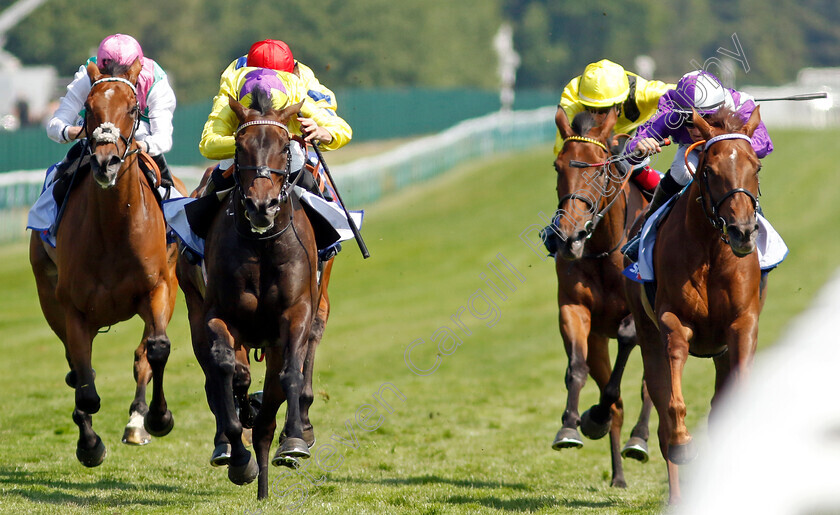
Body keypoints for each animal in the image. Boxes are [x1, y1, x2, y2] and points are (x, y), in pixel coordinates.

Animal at [29, 60, 184, 468]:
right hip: (47, 295)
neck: (115, 227)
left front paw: (159, 417)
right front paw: (89, 443)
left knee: (143, 355)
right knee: (77, 367)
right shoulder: (71, 307)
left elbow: (156, 350)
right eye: (89, 108)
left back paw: (137, 423)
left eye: (132, 108)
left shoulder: (159, 286)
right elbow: (84, 384)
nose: (105, 162)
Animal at [176, 88, 318, 500]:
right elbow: (226, 369)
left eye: (286, 146)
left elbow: (290, 373)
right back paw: (231, 443)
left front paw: (294, 440)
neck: (262, 244)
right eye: (240, 146)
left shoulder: (296, 312)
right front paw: (239, 456)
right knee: (219, 375)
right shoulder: (217, 314)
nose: (261, 206)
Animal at [552, 109, 656, 488]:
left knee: (649, 389)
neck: (602, 248)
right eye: (558, 166)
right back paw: (618, 476)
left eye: (599, 169)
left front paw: (594, 416)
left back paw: (638, 440)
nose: (568, 237)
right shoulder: (574, 309)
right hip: (598, 340)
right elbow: (576, 369)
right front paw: (571, 426)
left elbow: (626, 344)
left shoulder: (640, 317)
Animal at [624, 106, 768, 504]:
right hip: (647, 337)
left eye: (756, 166)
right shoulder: (673, 322)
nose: (742, 232)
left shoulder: (742, 325)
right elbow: (674, 403)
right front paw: (684, 443)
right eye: (709, 171)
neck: (711, 252)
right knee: (661, 411)